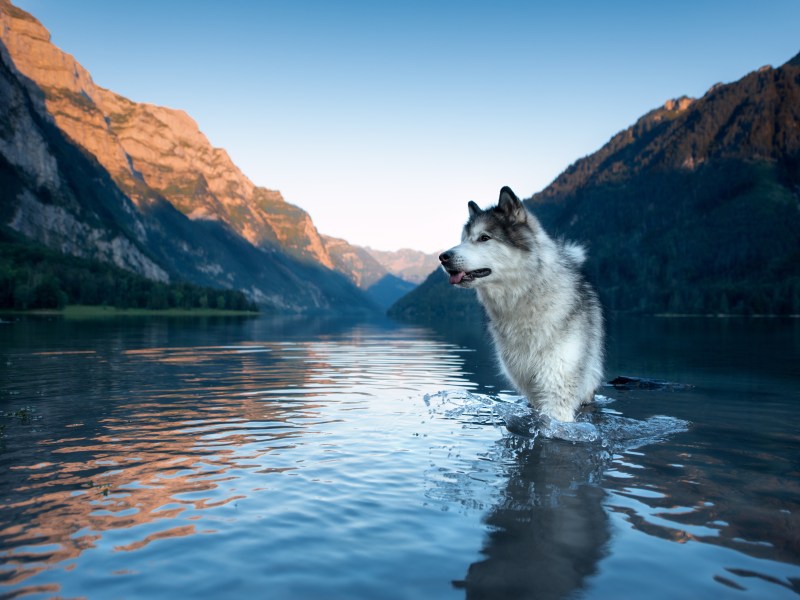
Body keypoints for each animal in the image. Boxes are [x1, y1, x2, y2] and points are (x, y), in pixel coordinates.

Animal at [440, 188, 604, 422]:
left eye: (484, 238)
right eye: (463, 240)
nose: (443, 257)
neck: (525, 297)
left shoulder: (557, 385)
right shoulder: (528, 385)